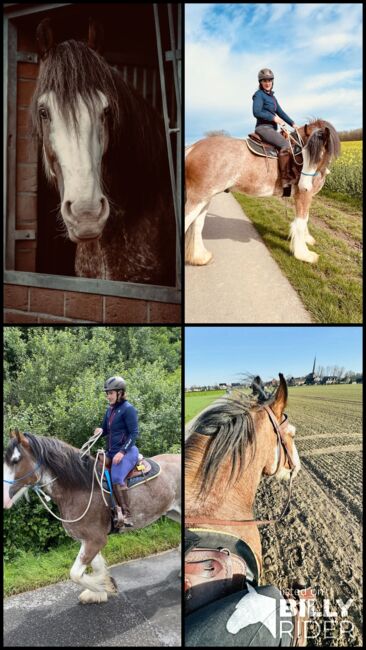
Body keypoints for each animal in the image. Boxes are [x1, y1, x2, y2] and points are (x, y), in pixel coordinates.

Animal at [2, 430, 180, 604]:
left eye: (16, 460)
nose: (4, 497)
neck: (79, 488)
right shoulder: (87, 539)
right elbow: (95, 566)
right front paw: (100, 591)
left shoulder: (96, 539)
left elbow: (75, 574)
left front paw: (106, 587)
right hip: (173, 512)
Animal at [186, 119, 340, 264]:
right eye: (302, 153)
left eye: (319, 156)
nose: (305, 186)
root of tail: (193, 147)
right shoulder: (303, 195)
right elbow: (301, 223)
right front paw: (304, 254)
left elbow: (305, 219)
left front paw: (307, 240)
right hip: (197, 198)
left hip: (206, 197)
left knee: (197, 224)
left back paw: (200, 256)